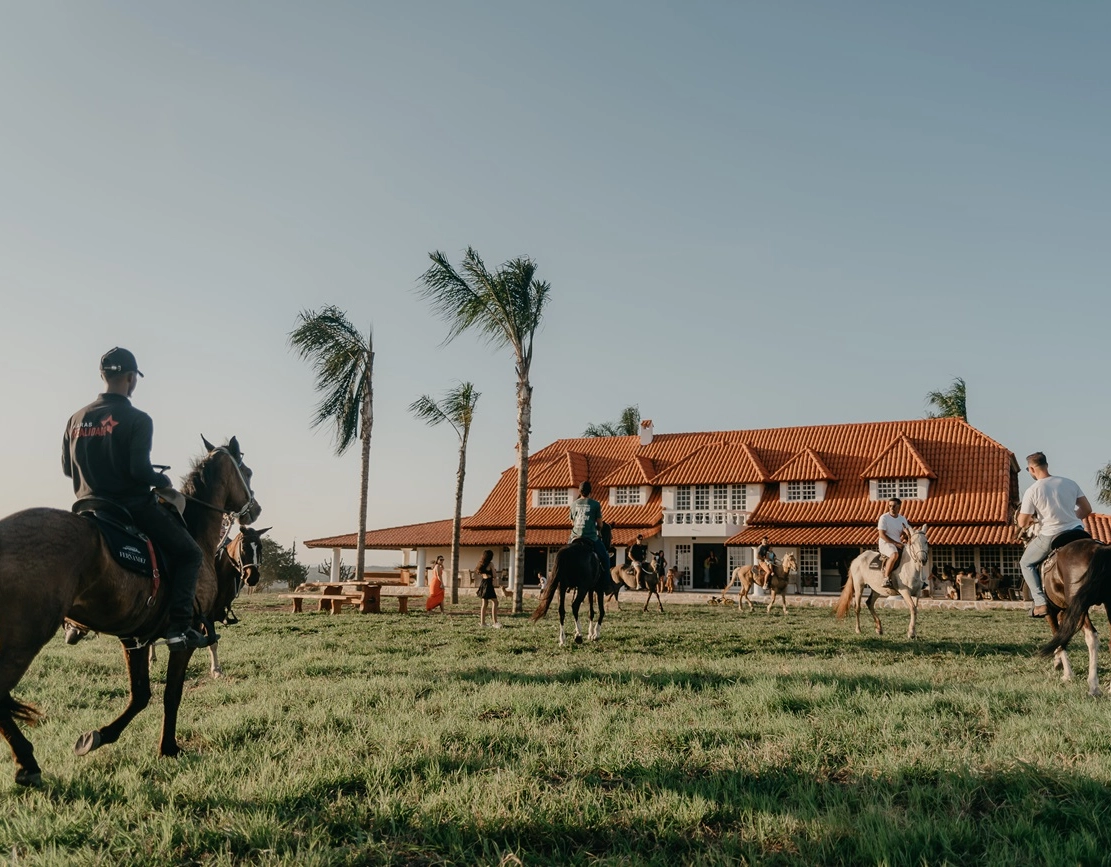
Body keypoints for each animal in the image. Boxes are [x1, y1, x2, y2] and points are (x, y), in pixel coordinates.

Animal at [0, 437, 258, 782]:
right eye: (247, 471)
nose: (254, 509)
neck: (195, 534)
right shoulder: (185, 638)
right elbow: (171, 694)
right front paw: (169, 747)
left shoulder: (136, 639)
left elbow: (140, 695)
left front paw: (97, 736)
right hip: (22, 642)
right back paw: (27, 761)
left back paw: (27, 761)